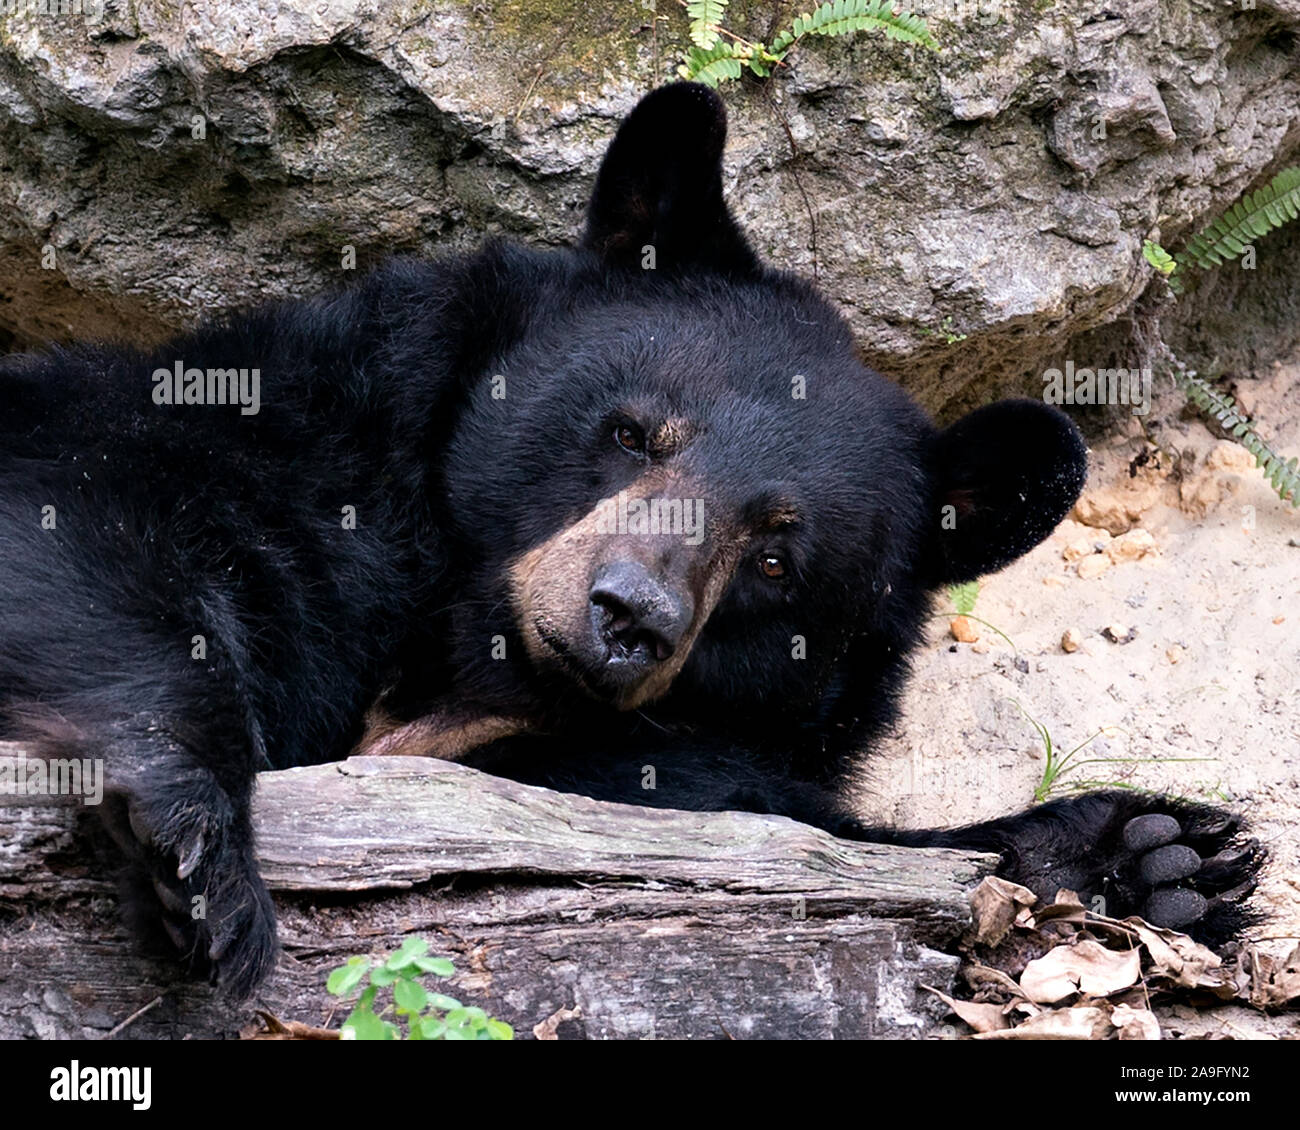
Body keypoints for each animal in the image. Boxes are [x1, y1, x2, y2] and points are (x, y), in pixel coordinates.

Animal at [0, 83, 1258, 993]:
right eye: (633, 431)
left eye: (776, 556)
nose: (626, 617)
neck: (468, 657)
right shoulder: (285, 460)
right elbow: (84, 527)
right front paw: (199, 860)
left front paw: (1155, 852)